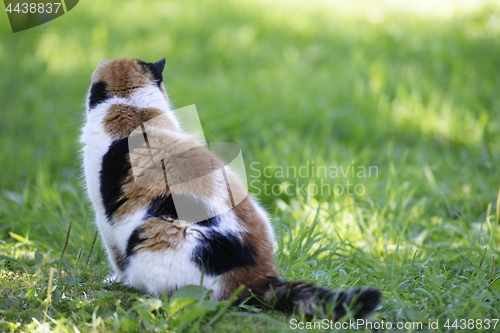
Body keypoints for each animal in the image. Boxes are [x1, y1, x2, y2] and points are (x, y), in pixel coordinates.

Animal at [81, 58, 378, 318]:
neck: (132, 107)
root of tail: (260, 277)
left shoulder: (105, 217)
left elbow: (115, 255)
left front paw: (117, 280)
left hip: (152, 237)